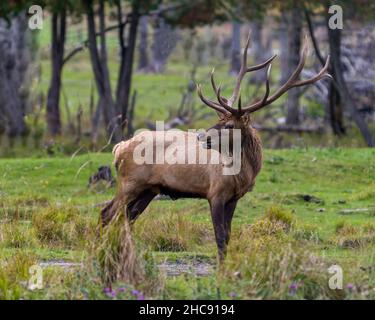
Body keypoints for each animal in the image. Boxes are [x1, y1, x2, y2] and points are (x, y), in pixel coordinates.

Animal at [100, 33, 332, 262]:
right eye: (218, 120)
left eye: (228, 125)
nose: (201, 135)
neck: (243, 173)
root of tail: (118, 148)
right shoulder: (215, 193)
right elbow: (220, 237)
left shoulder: (234, 198)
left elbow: (227, 236)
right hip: (130, 182)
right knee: (107, 213)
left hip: (149, 189)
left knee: (127, 218)